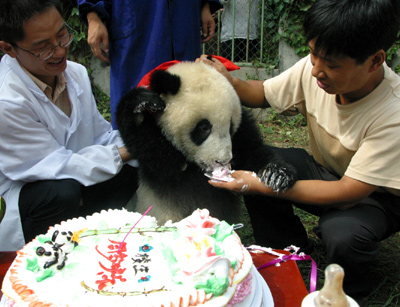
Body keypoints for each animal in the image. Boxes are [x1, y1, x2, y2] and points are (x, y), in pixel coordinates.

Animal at [115, 61, 296, 226]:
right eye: (204, 127)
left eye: (230, 126)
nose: (222, 161)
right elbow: (156, 154)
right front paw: (140, 103)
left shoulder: (242, 130)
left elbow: (251, 151)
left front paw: (276, 174)